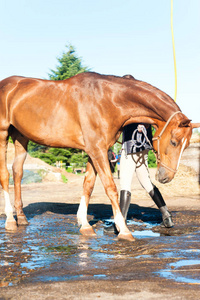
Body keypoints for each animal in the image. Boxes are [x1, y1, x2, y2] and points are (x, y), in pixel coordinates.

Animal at [0, 72, 198, 241]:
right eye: (174, 142)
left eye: (187, 144)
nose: (166, 177)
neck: (108, 101)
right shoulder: (97, 150)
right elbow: (110, 188)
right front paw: (124, 230)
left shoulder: (94, 150)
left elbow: (88, 184)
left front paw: (85, 224)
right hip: (3, 135)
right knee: (5, 175)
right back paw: (10, 220)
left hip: (21, 137)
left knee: (17, 173)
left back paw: (22, 218)